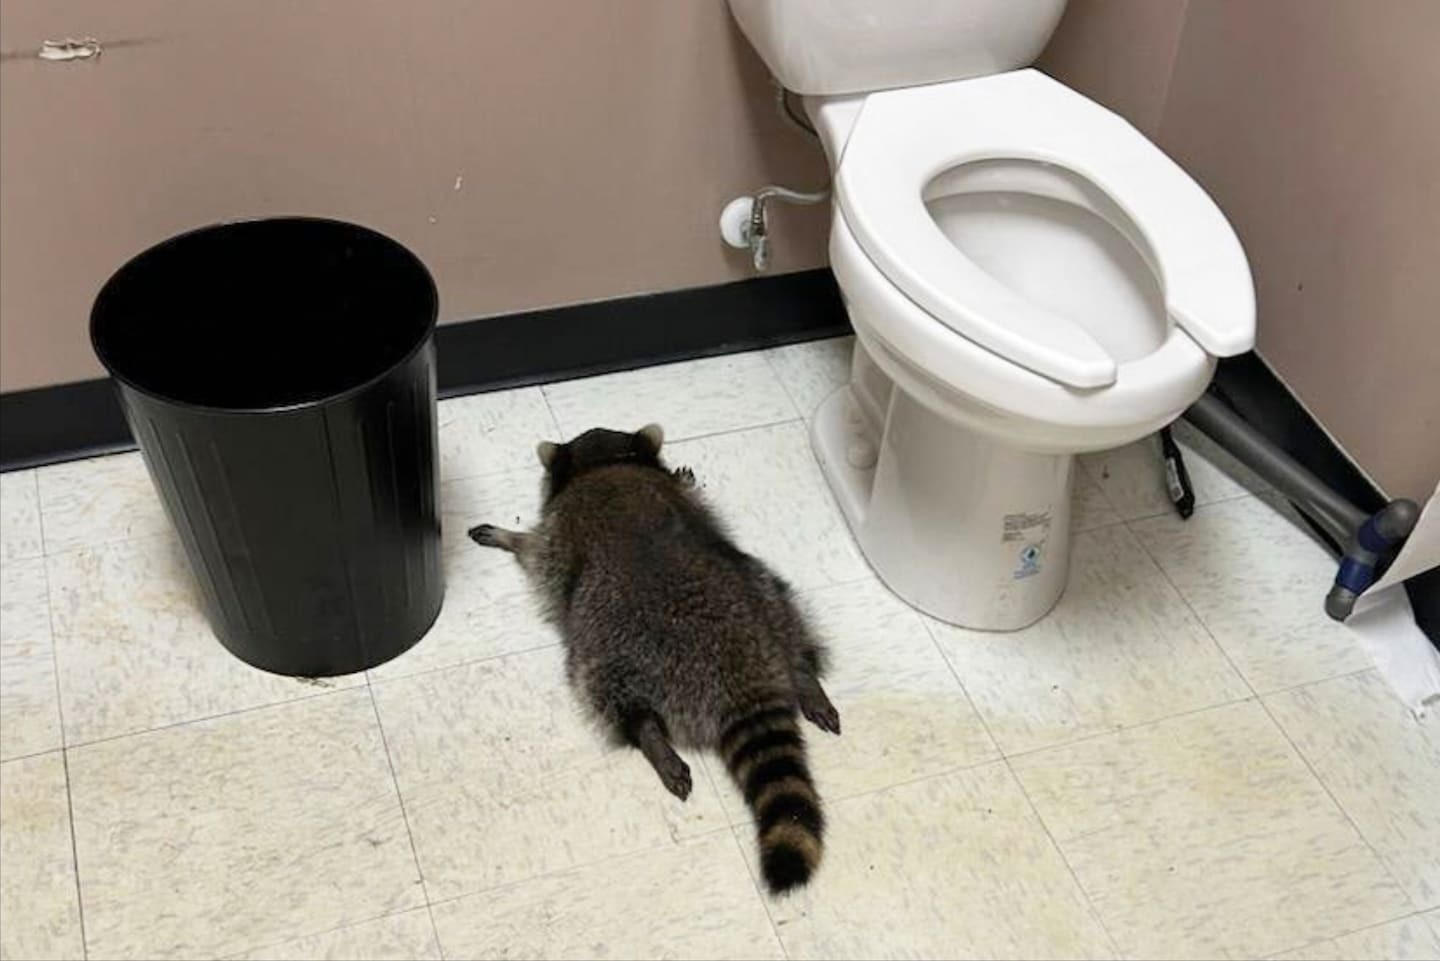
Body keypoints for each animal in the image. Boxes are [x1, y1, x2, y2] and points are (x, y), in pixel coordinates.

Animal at [468, 424, 840, 894]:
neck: (606, 463)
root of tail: (741, 674)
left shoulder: (557, 535)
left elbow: (534, 549)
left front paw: (508, 537)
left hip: (611, 646)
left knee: (606, 690)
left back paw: (649, 735)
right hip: (764, 592)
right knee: (787, 615)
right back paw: (805, 674)